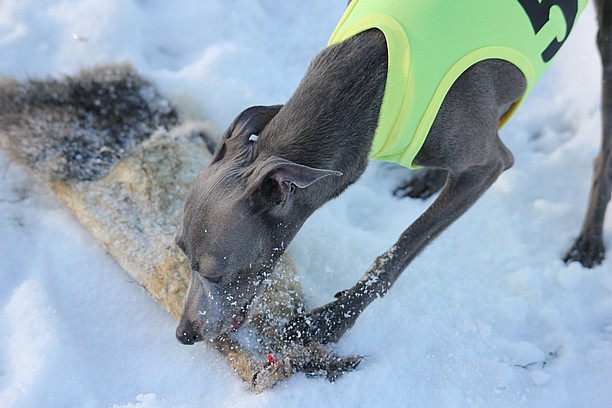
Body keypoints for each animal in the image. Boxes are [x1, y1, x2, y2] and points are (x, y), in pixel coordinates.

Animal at [175, 1, 608, 346]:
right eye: (181, 250)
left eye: (217, 274)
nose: (184, 334)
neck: (369, 83)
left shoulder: (490, 165)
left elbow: (405, 244)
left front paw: (332, 320)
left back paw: (588, 242)